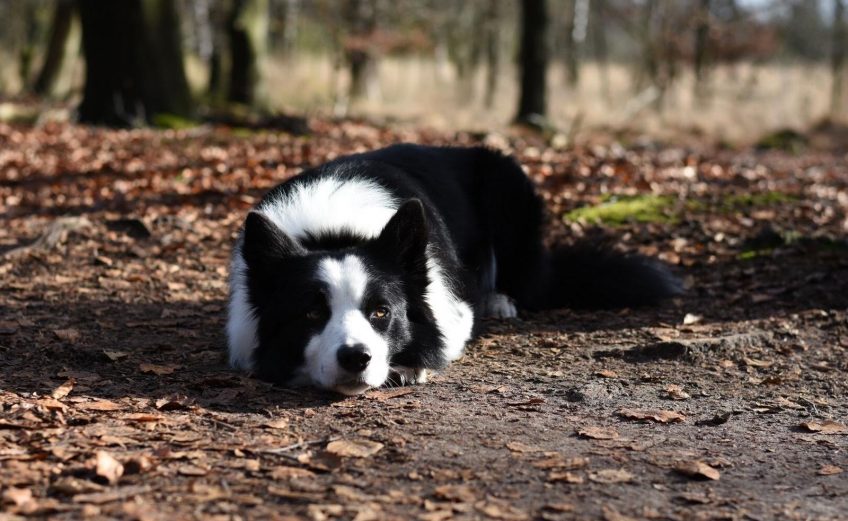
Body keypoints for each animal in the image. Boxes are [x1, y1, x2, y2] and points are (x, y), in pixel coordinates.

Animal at [227, 142, 684, 394]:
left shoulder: (456, 310)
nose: (357, 358)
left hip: (508, 188)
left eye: (381, 312)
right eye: (311, 313)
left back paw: (500, 301)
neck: (335, 233)